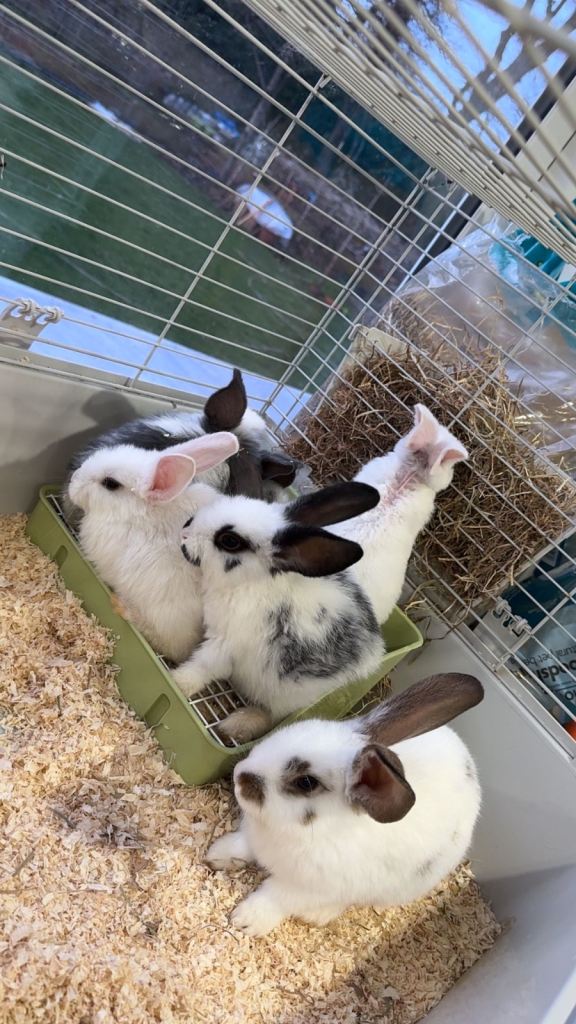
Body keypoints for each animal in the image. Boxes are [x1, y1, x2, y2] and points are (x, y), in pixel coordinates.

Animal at [172, 481, 385, 736]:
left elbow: (202, 667)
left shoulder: (225, 644)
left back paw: (235, 724)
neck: (252, 583)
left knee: (270, 718)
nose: (184, 531)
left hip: (287, 698)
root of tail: (375, 656)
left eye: (229, 541)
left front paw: (176, 681)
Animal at [205, 672, 484, 937]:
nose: (239, 776)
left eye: (306, 782)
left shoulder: (306, 889)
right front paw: (216, 855)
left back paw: (318, 915)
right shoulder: (253, 839)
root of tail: (470, 763)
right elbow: (241, 845)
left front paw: (245, 920)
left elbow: (275, 896)